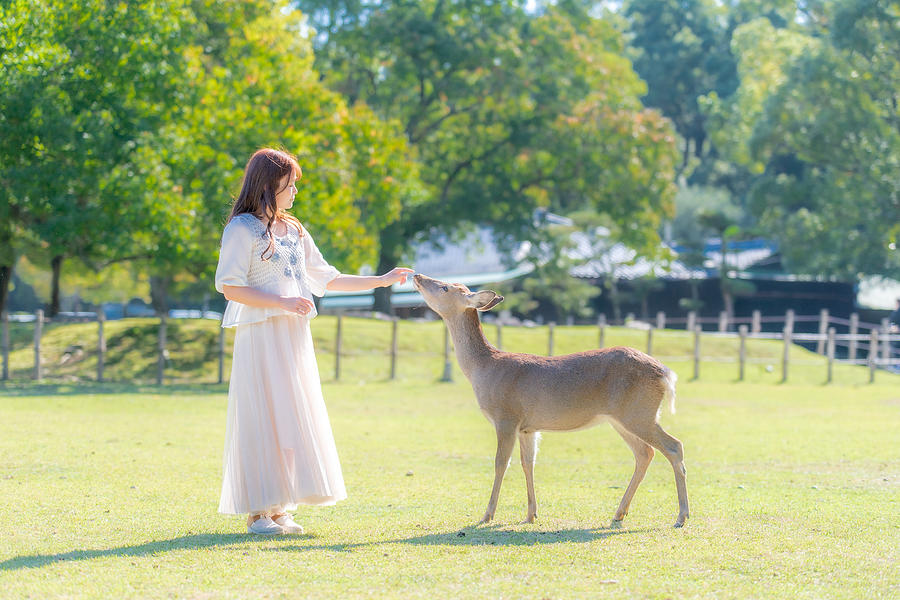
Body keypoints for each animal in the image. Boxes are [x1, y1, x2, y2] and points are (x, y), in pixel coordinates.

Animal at [412, 274, 692, 528]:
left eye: (445, 287)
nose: (417, 276)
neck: (484, 369)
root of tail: (666, 373)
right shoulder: (527, 427)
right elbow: (528, 463)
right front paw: (531, 515)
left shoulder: (506, 416)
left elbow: (501, 463)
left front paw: (487, 516)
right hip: (622, 419)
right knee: (645, 453)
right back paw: (619, 514)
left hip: (639, 413)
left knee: (674, 446)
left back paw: (681, 516)